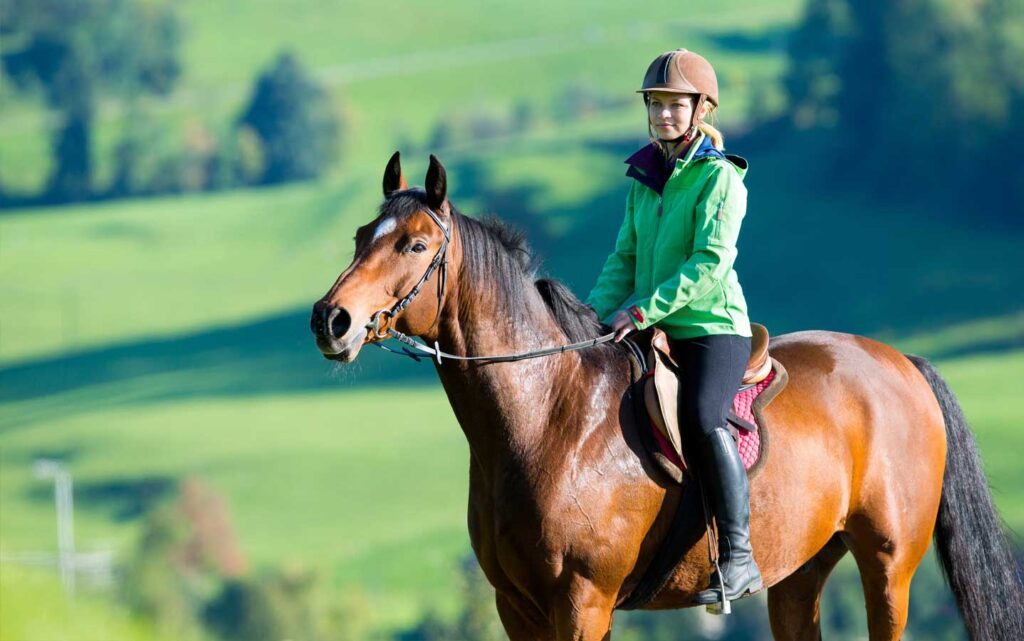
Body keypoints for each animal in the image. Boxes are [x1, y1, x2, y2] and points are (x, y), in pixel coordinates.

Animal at [311, 153, 1024, 638]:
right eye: (360, 236)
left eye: (415, 244)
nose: (331, 320)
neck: (548, 417)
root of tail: (902, 363)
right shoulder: (516, 606)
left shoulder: (582, 601)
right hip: (799, 574)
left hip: (888, 564)